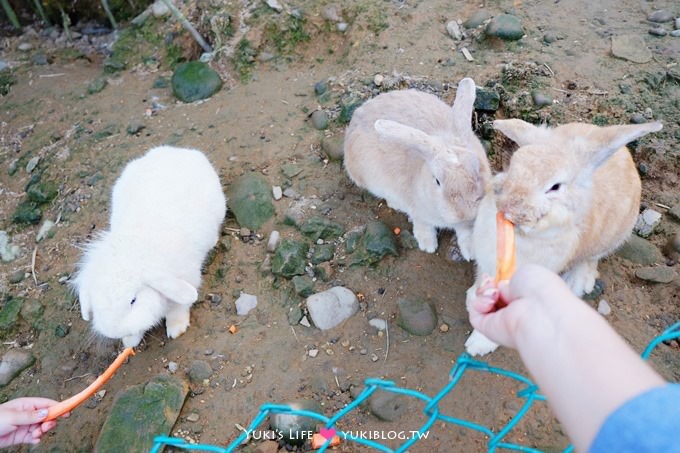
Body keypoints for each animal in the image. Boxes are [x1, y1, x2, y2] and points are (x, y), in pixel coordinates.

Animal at [71, 145, 227, 346]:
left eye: (133, 300)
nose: (114, 332)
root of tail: (177, 151)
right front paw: (130, 342)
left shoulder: (187, 280)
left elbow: (179, 307)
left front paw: (176, 329)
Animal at [342, 76, 492, 256]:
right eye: (437, 181)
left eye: (478, 171)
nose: (464, 213)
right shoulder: (418, 211)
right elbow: (422, 224)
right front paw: (428, 245)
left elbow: (466, 232)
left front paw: (471, 250)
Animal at [464, 118, 660, 354]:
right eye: (512, 166)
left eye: (555, 187)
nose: (508, 207)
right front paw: (472, 298)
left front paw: (478, 344)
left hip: (614, 237)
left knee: (591, 258)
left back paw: (578, 281)